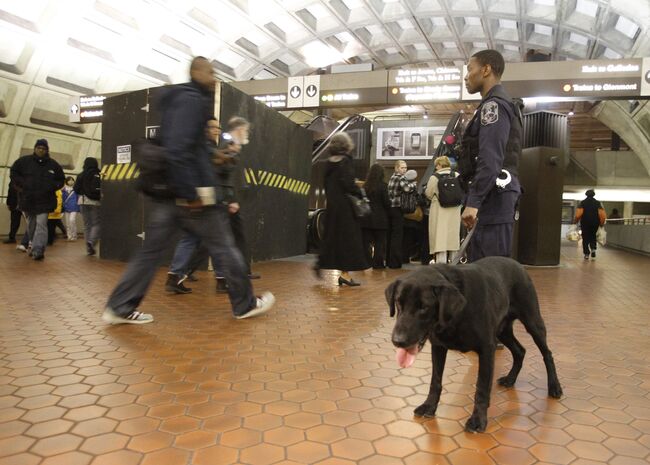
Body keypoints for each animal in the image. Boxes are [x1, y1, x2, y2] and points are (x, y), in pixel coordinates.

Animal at [384, 254, 560, 432]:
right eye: (398, 302)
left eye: (424, 307)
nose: (397, 341)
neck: (455, 315)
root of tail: (516, 263)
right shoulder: (438, 347)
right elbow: (435, 381)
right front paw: (429, 406)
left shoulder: (487, 349)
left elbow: (481, 388)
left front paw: (478, 419)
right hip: (502, 331)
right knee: (520, 351)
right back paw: (510, 379)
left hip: (532, 322)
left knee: (547, 354)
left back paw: (554, 387)